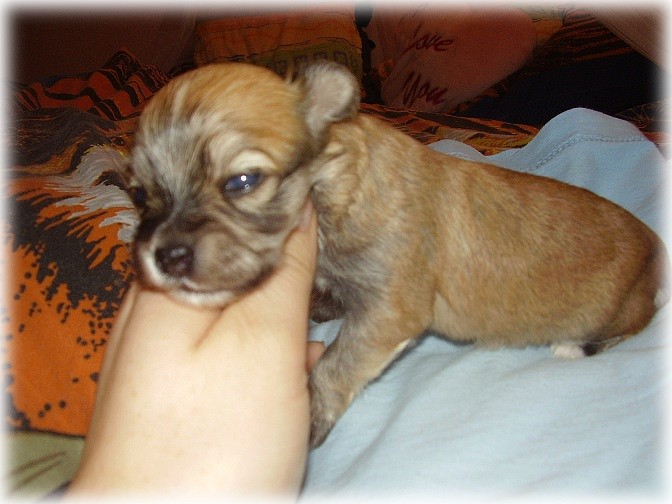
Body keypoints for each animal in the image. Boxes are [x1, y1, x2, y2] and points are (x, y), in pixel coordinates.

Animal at [127, 61, 667, 447]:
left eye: (243, 181)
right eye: (137, 194)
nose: (167, 256)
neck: (336, 183)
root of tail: (656, 255)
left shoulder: (391, 309)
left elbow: (335, 365)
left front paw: (311, 416)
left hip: (619, 306)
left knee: (631, 325)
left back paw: (575, 346)